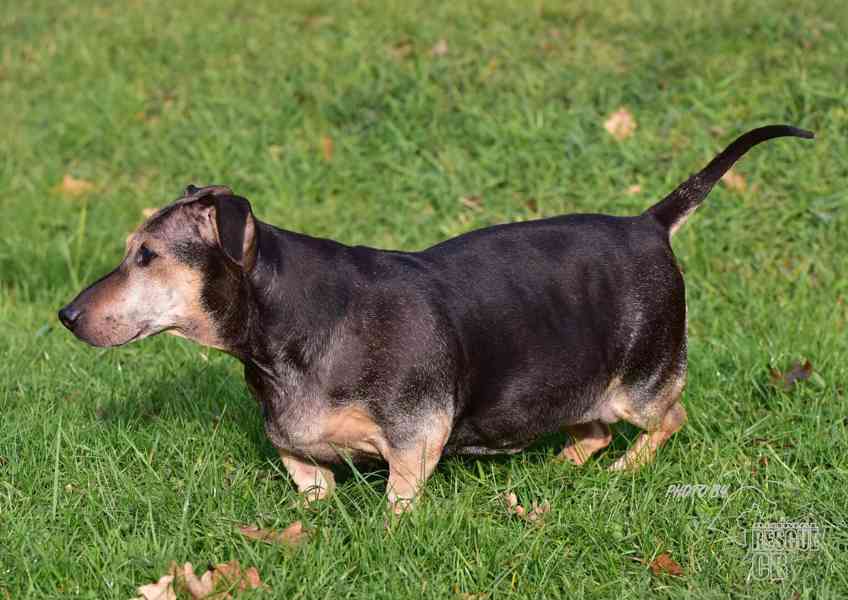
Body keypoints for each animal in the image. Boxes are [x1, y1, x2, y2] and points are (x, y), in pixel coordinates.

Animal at [59, 124, 816, 512]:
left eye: (147, 255)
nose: (65, 315)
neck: (291, 324)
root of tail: (649, 225)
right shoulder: (291, 441)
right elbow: (307, 479)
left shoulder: (417, 436)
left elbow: (399, 498)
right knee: (593, 430)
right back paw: (562, 468)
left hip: (643, 381)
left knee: (667, 419)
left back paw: (625, 471)